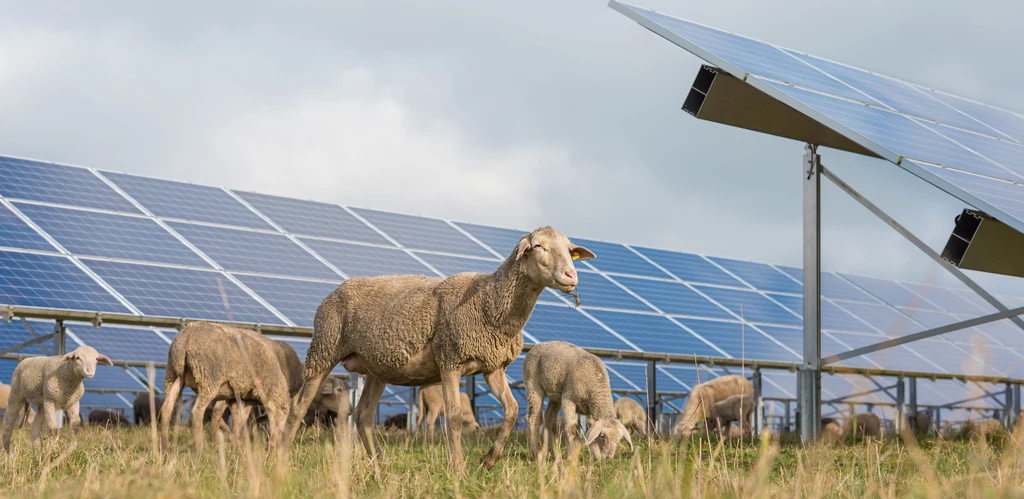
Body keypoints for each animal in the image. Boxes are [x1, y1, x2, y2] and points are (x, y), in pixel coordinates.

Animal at [157, 321, 292, 454]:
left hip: (174, 375)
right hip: (208, 378)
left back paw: (164, 450)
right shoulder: (263, 393)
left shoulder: (239, 398)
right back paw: (200, 451)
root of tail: (186, 338)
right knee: (196, 412)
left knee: (167, 408)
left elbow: (239, 422)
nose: (278, 449)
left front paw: (235, 449)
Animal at [284, 226, 598, 477]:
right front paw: (458, 470)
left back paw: (381, 467)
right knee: (299, 405)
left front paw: (489, 460)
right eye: (538, 246)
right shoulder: (450, 360)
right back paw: (281, 455)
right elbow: (455, 417)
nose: (571, 275)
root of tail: (336, 290)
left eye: (570, 250)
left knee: (362, 416)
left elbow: (512, 409)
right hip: (324, 349)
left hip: (377, 367)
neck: (490, 302)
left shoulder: (492, 366)